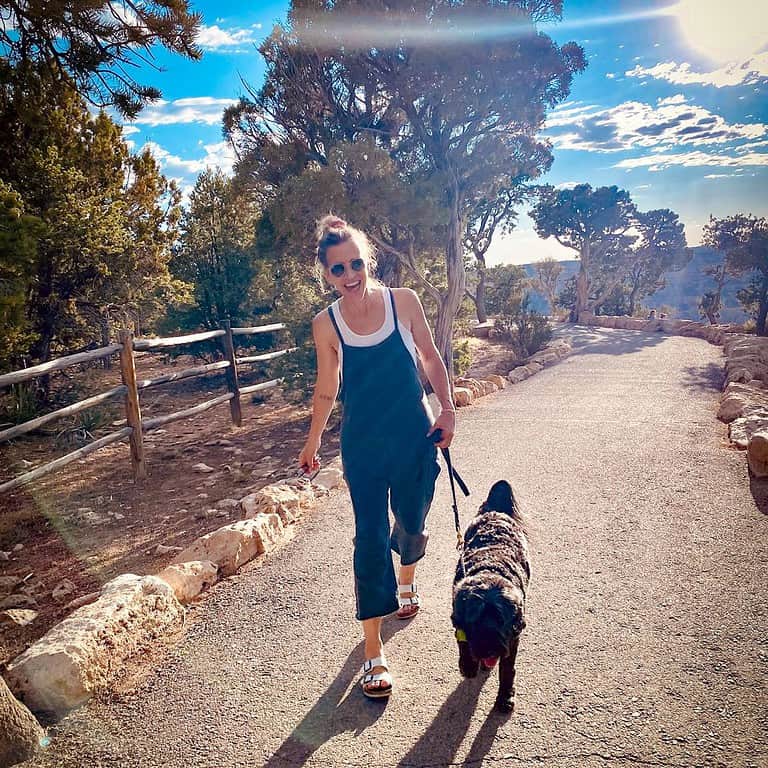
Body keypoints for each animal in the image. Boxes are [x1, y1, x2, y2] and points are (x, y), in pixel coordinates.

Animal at [450, 480, 528, 712]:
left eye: (502, 620)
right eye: (475, 621)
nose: (490, 651)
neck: (490, 568)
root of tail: (496, 510)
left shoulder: (513, 635)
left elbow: (507, 669)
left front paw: (505, 696)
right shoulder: (458, 617)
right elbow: (464, 642)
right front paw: (468, 665)